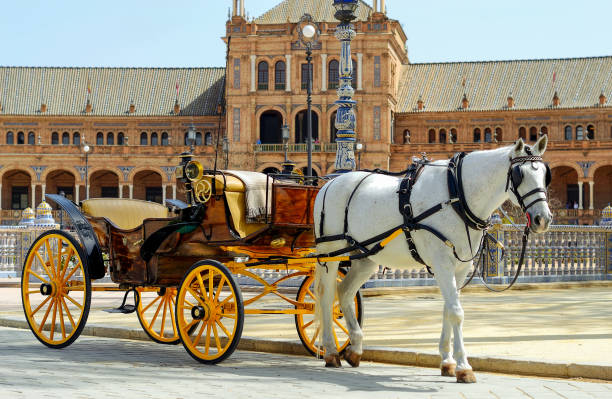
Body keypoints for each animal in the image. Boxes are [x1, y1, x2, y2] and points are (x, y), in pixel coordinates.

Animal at [314, 138, 552, 384]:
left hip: (366, 258)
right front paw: (464, 366)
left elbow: (448, 309)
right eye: (519, 175)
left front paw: (447, 362)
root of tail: (329, 184)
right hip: (330, 253)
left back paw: (354, 349)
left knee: (344, 292)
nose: (542, 219)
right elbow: (456, 312)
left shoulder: (461, 267)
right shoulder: (442, 263)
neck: (457, 195)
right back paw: (331, 352)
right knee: (326, 297)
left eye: (545, 174)